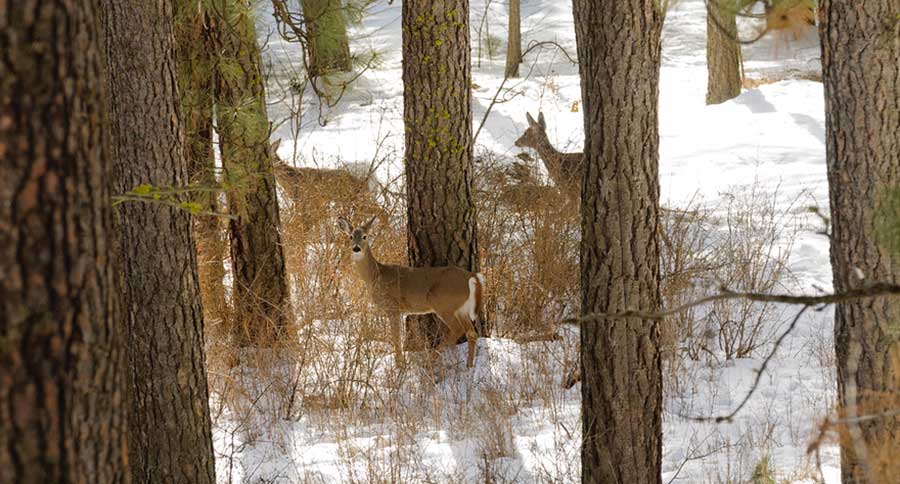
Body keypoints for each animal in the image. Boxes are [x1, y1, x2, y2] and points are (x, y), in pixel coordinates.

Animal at [337, 216, 485, 369]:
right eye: (351, 236)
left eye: (365, 236)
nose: (356, 248)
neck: (376, 276)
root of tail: (472, 276)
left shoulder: (393, 307)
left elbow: (396, 338)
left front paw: (399, 366)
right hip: (462, 308)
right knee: (472, 333)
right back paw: (469, 366)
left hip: (444, 303)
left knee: (457, 329)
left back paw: (429, 362)